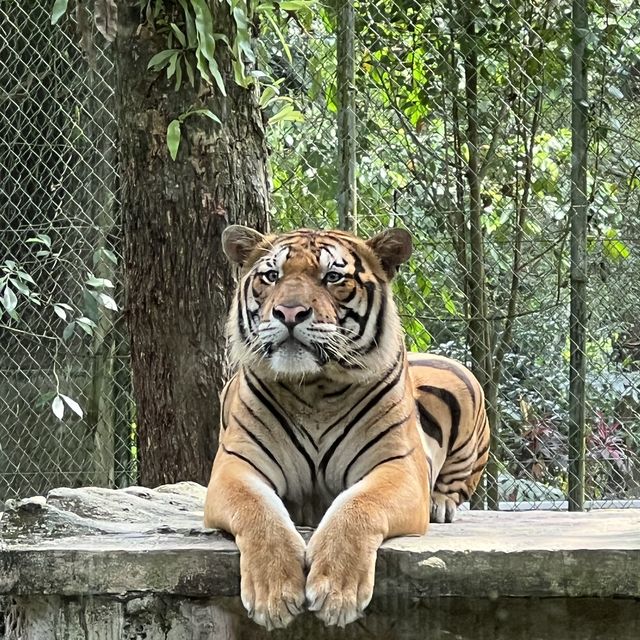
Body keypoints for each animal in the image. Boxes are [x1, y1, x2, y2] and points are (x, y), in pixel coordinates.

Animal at [205, 225, 490, 632]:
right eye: (272, 276)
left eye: (332, 277)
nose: (289, 312)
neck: (314, 387)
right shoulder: (235, 467)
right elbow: (258, 511)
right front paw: (275, 595)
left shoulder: (398, 467)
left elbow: (359, 505)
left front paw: (336, 592)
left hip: (466, 384)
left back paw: (441, 505)